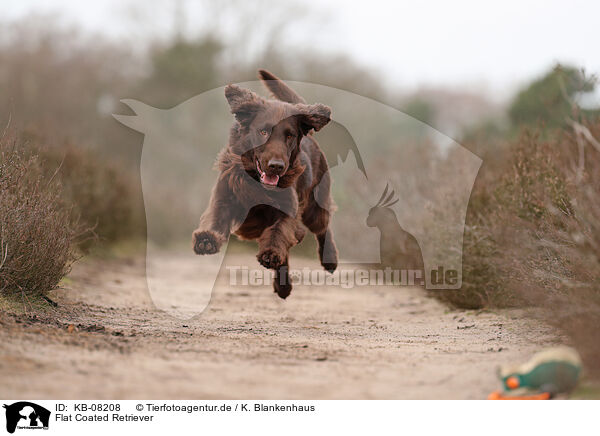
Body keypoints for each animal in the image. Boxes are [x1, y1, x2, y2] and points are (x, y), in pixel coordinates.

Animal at [192, 70, 338, 298]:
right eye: (263, 132)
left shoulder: (289, 209)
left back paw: (328, 259)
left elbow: (279, 231)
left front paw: (270, 253)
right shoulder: (224, 197)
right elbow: (215, 218)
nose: (276, 166)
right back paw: (283, 286)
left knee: (324, 226)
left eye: (290, 135)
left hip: (315, 207)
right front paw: (206, 240)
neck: (256, 183)